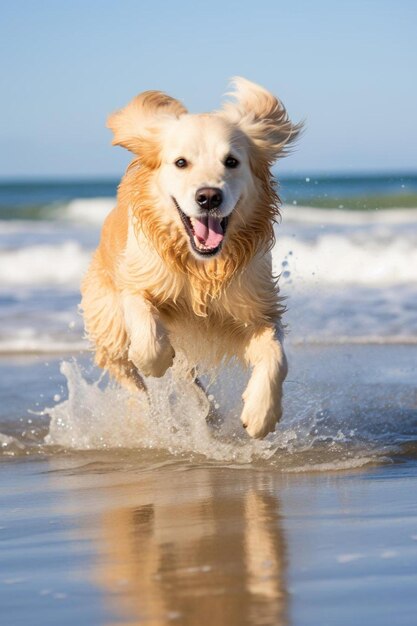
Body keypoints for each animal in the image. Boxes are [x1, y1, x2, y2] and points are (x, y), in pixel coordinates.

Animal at [81, 78, 300, 436]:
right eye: (181, 162)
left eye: (231, 161)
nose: (209, 197)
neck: (201, 267)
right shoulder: (137, 282)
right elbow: (147, 332)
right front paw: (154, 361)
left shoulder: (256, 308)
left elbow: (276, 356)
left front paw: (261, 413)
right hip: (108, 324)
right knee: (127, 372)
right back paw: (146, 413)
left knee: (187, 377)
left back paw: (207, 411)